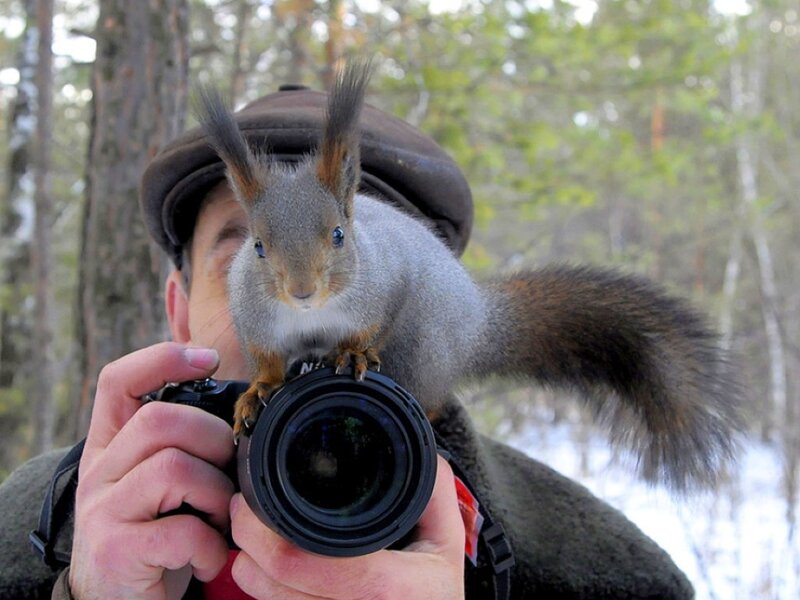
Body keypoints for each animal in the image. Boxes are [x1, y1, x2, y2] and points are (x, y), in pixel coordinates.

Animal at [198, 61, 743, 492]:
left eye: (338, 235)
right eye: (258, 246)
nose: (302, 292)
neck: (313, 316)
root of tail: (478, 321)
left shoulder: (385, 286)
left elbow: (370, 327)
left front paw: (351, 352)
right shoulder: (257, 322)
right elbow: (268, 361)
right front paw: (258, 391)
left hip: (424, 349)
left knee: (428, 397)